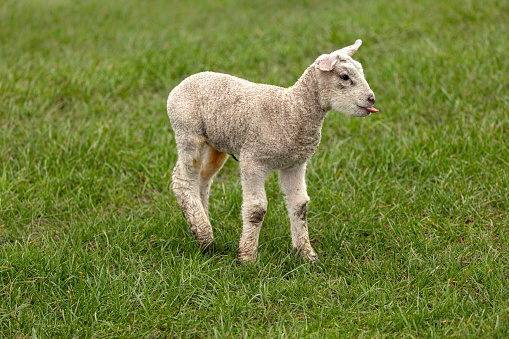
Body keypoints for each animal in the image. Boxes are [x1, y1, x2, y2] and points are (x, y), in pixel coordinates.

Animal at [167, 39, 378, 262]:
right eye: (344, 76)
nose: (371, 99)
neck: (290, 110)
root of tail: (182, 83)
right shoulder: (253, 159)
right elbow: (256, 209)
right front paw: (247, 257)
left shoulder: (295, 164)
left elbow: (300, 205)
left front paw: (306, 254)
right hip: (188, 131)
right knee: (182, 180)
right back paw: (205, 236)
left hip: (215, 144)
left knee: (202, 179)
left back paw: (202, 227)